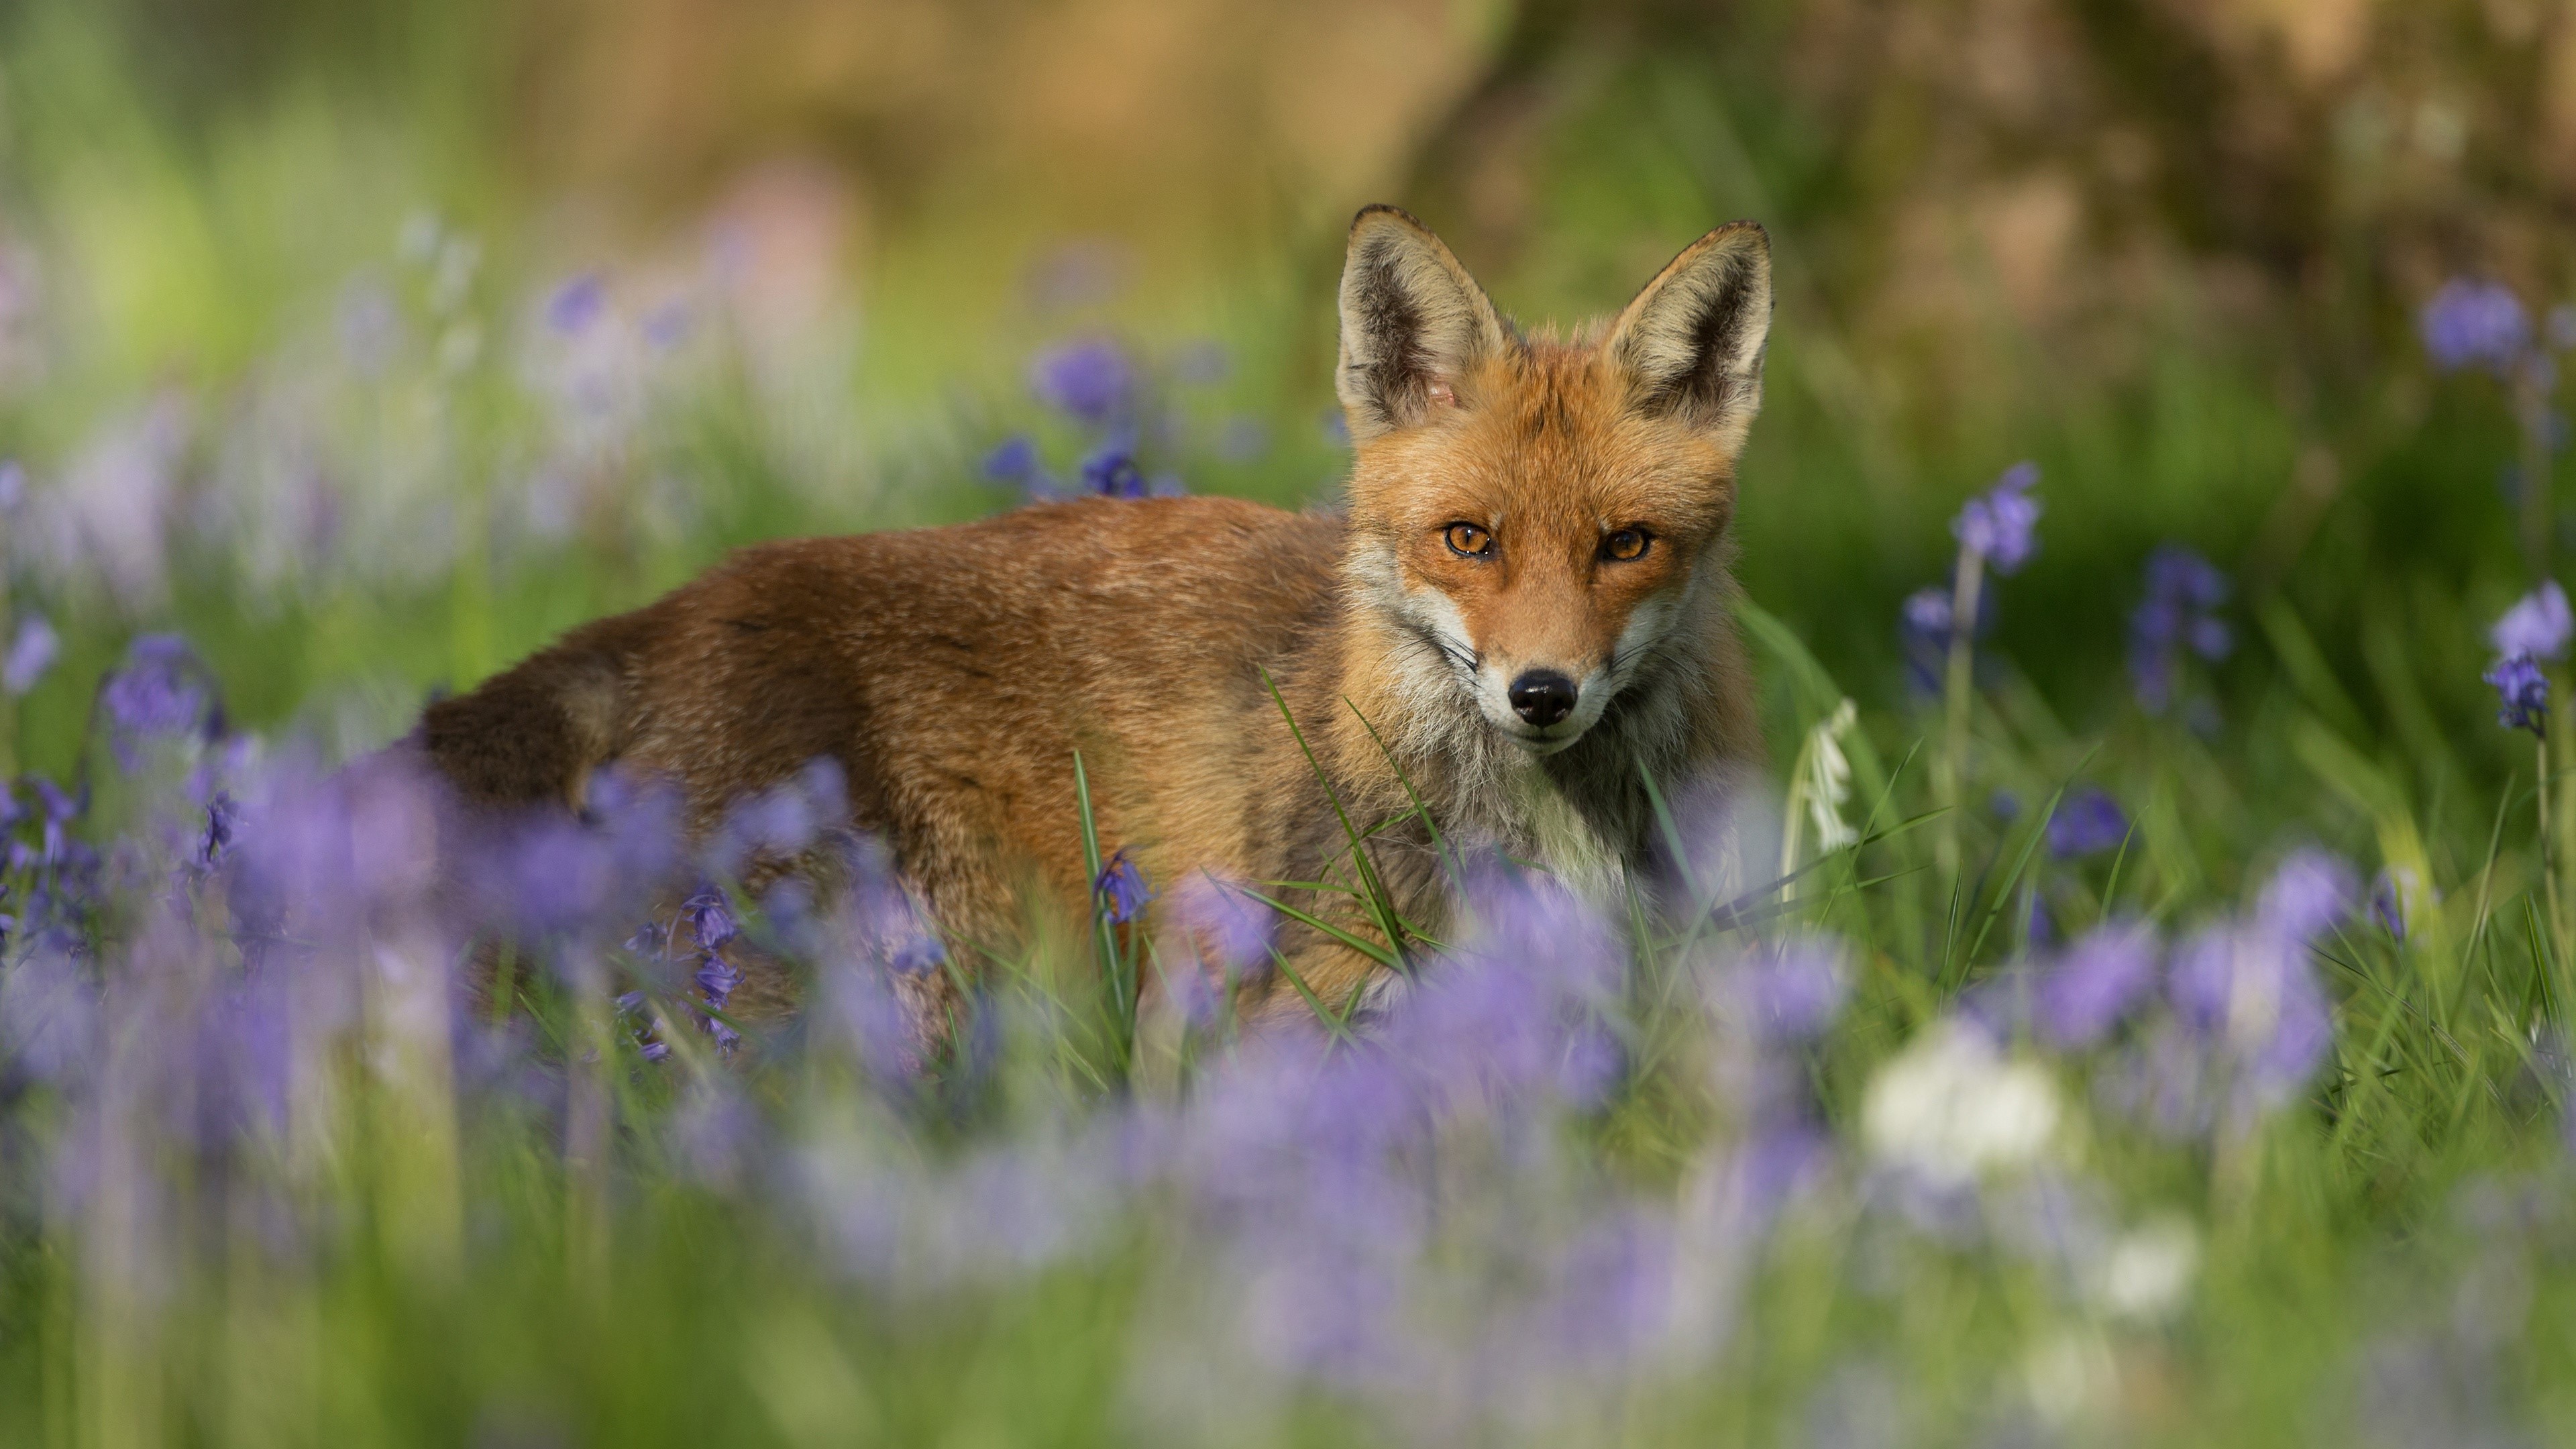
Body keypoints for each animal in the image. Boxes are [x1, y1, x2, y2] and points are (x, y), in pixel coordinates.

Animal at [417, 205, 1774, 1030]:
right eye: (1469, 540)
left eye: (1625, 546)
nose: (1542, 693)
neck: (1547, 820)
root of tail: (683, 603)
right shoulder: (1311, 1000)